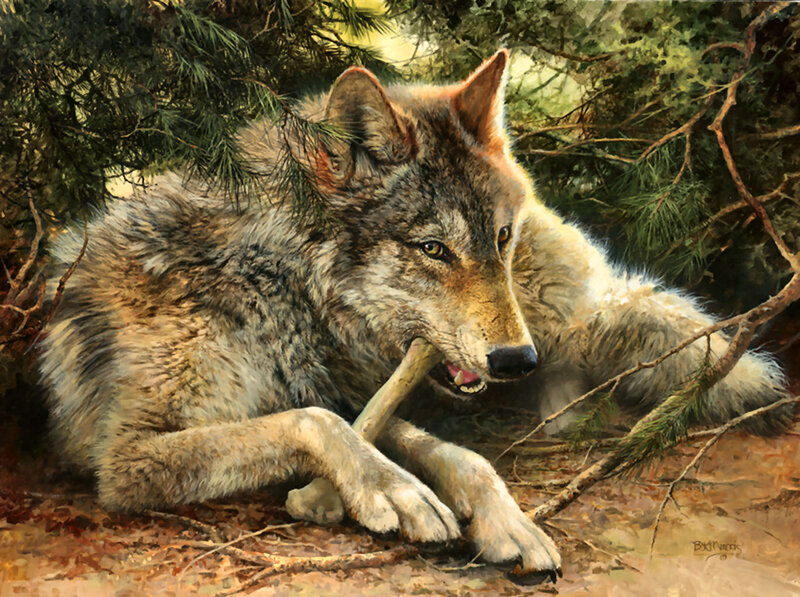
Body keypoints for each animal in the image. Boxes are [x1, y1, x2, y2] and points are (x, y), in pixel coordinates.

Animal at [39, 50, 792, 574]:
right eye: (433, 248)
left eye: (499, 238)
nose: (514, 360)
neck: (276, 279)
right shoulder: (126, 457)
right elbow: (318, 423)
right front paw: (392, 492)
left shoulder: (350, 384)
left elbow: (447, 448)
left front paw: (501, 518)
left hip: (557, 311)